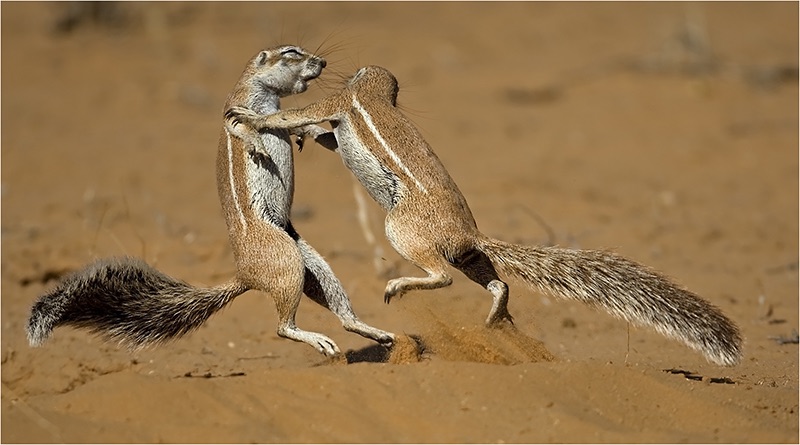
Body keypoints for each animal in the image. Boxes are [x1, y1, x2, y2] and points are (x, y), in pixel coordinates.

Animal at [26, 48, 395, 357]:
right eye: (291, 52)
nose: (323, 62)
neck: (265, 94)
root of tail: (245, 276)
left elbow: (294, 126)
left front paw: (307, 135)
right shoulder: (235, 110)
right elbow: (242, 127)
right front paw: (256, 144)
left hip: (306, 260)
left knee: (334, 309)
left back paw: (374, 331)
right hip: (285, 258)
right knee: (282, 327)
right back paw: (320, 339)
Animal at [225, 65, 743, 366]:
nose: (331, 67)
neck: (373, 94)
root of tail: (472, 234)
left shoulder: (336, 106)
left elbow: (297, 115)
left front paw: (253, 119)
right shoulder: (340, 119)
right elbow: (324, 135)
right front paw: (301, 136)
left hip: (402, 230)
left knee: (441, 276)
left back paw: (398, 287)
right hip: (471, 257)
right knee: (497, 283)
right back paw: (496, 318)